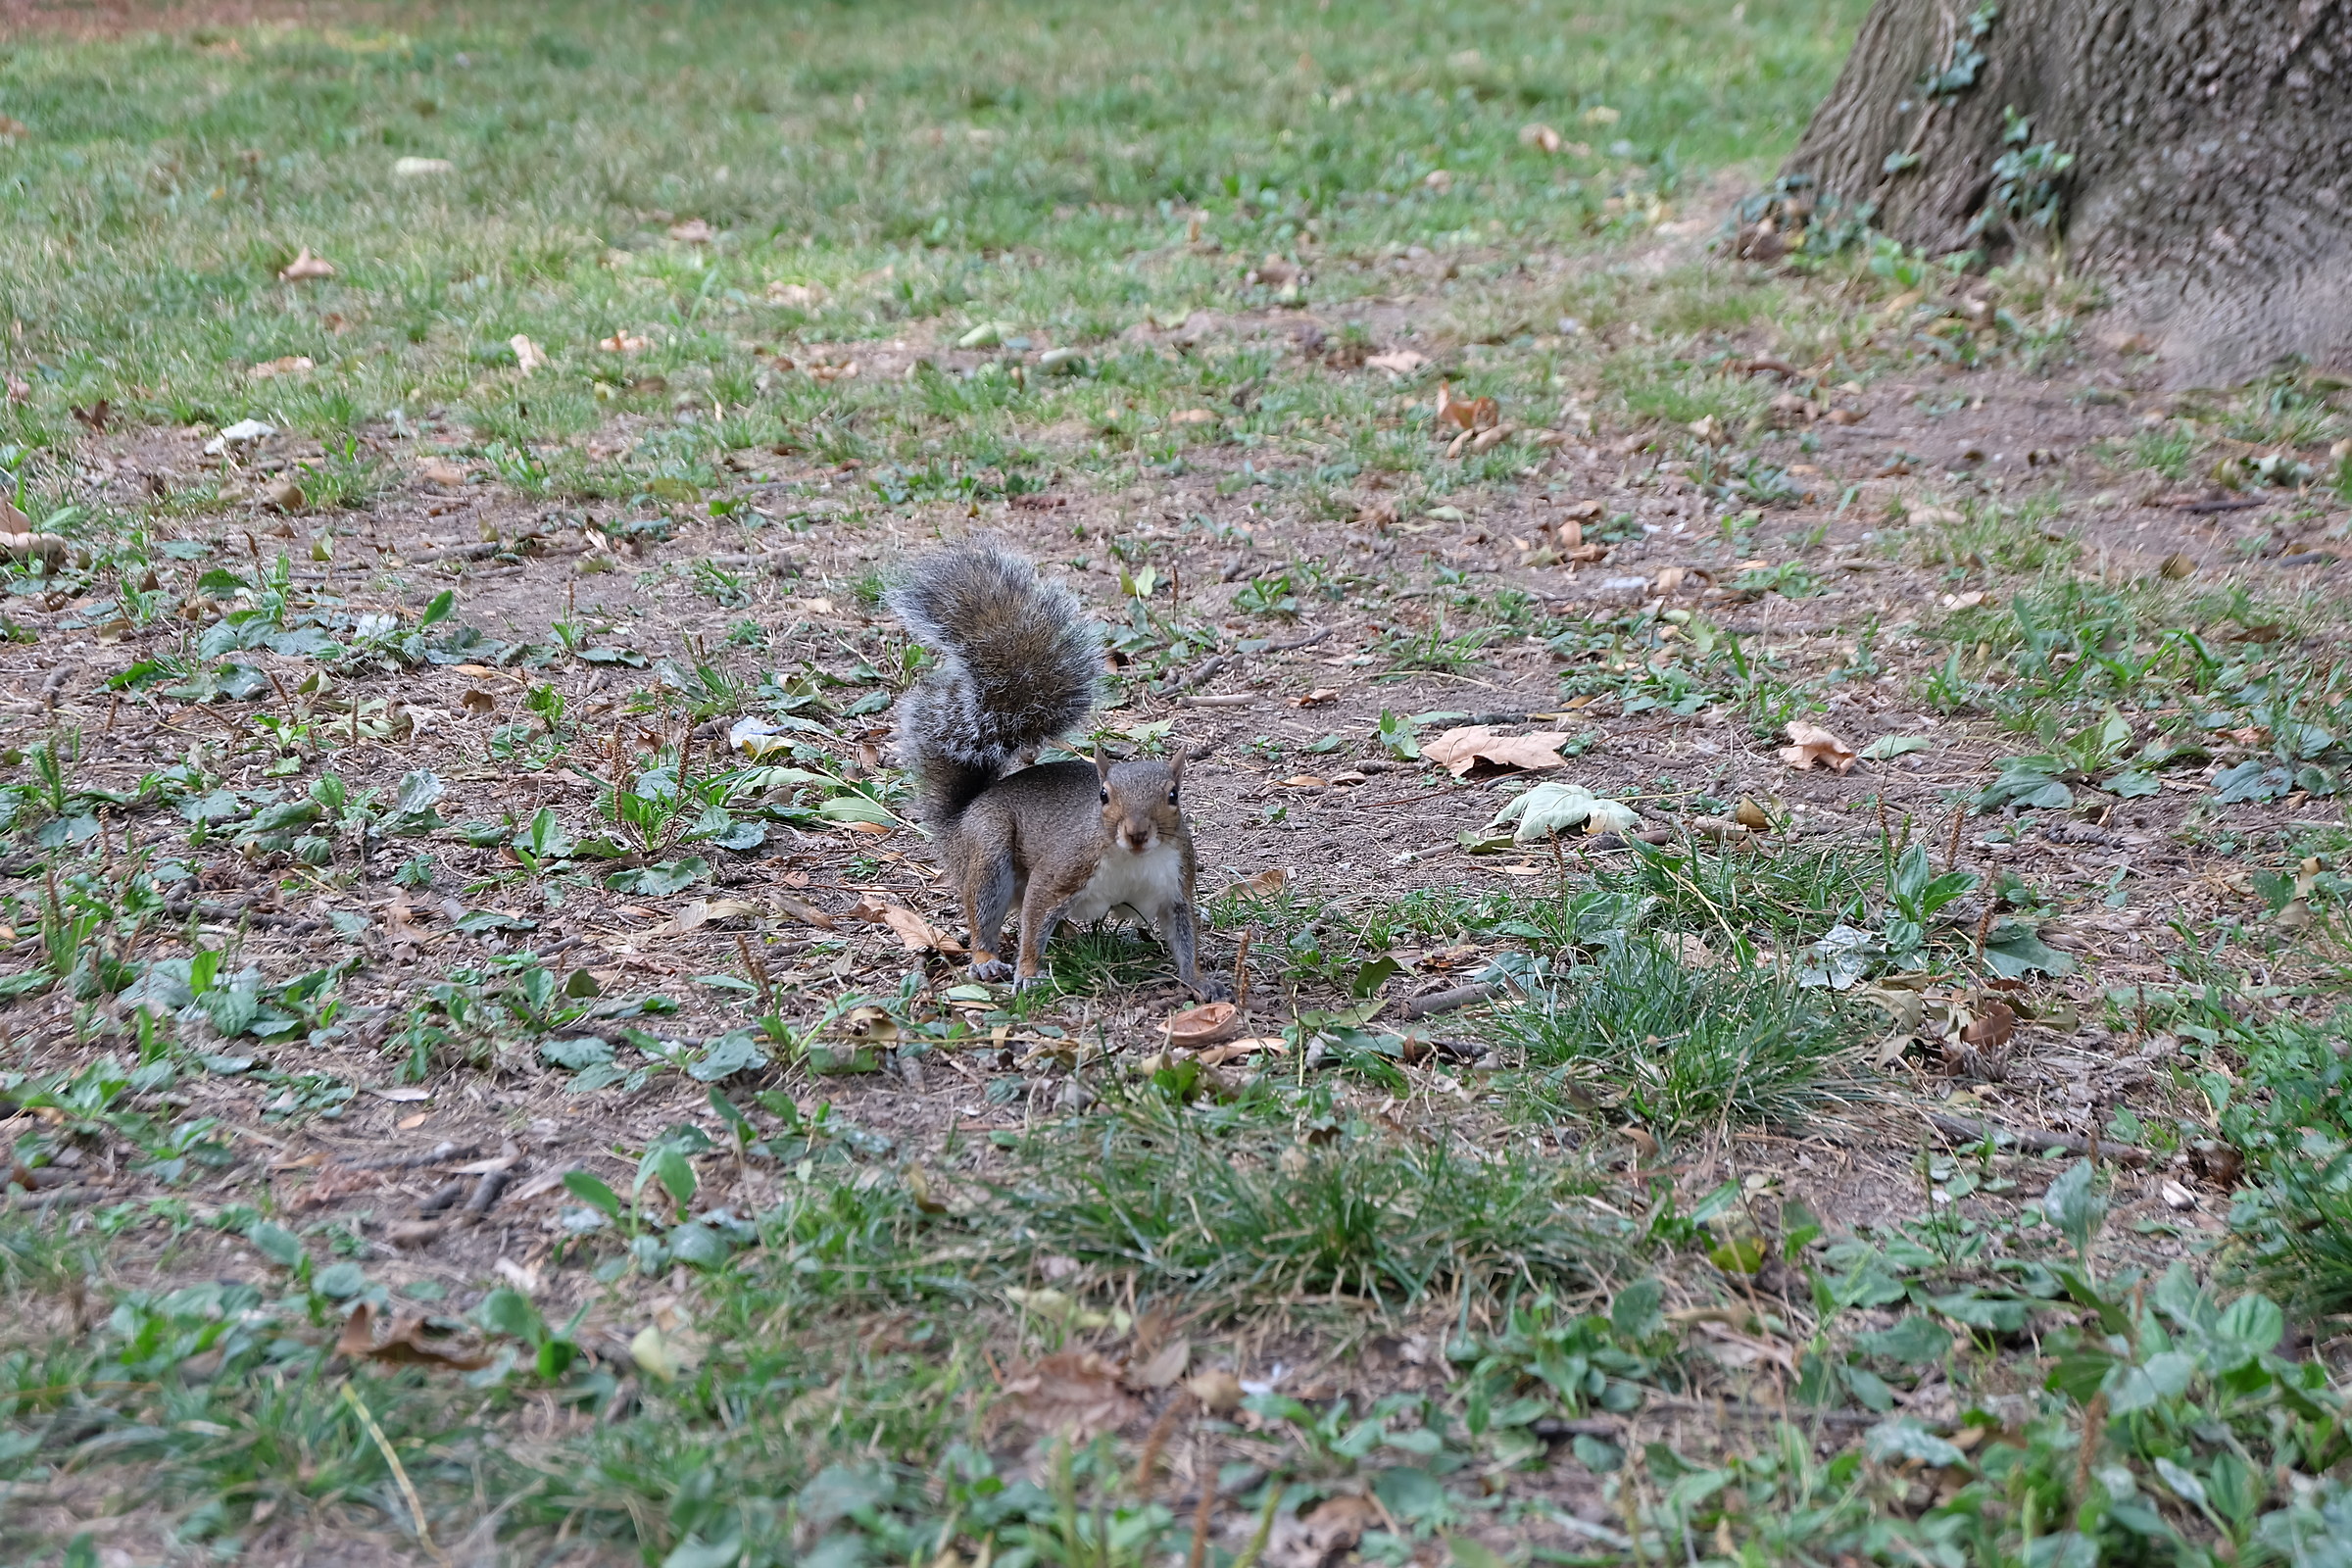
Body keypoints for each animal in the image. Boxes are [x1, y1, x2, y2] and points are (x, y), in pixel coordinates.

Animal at [886, 543, 1229, 1000]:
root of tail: (962, 818)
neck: (1132, 858)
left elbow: (1185, 935)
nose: (1137, 833)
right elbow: (1034, 919)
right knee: (985, 912)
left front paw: (1200, 981)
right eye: (1103, 795)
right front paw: (1029, 972)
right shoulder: (1060, 872)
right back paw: (986, 959)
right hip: (988, 850)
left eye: (1173, 795)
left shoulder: (1176, 885)